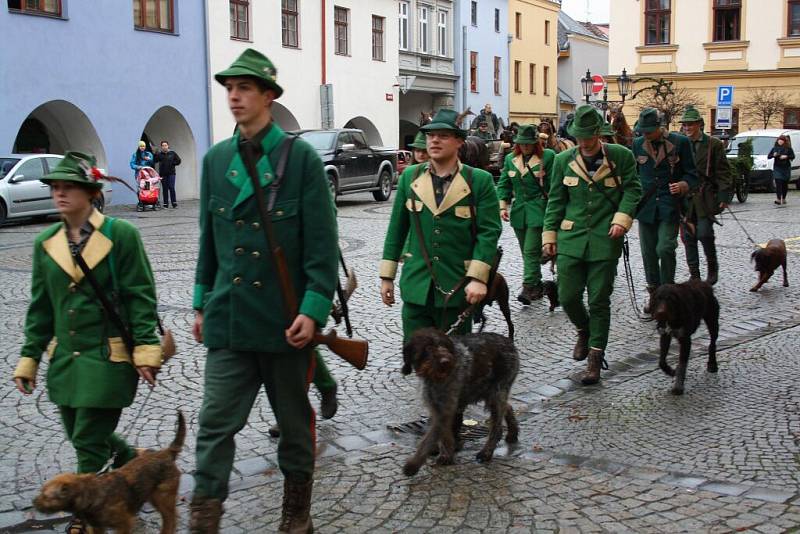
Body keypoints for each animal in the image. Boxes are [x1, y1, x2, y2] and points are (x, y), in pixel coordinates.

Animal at [32, 412, 186, 532]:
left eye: (46, 496)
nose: (34, 502)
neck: (91, 493)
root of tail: (166, 453)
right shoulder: (97, 527)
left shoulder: (124, 523)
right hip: (154, 496)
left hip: (163, 497)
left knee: (171, 519)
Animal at [400, 330, 520, 478]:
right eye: (428, 347)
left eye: (444, 345)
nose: (445, 361)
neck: (434, 378)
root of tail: (508, 341)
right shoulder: (436, 408)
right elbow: (444, 434)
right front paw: (447, 455)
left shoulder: (445, 410)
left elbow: (429, 439)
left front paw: (413, 465)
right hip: (488, 392)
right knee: (508, 406)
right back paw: (513, 434)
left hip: (497, 392)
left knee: (497, 428)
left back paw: (486, 453)